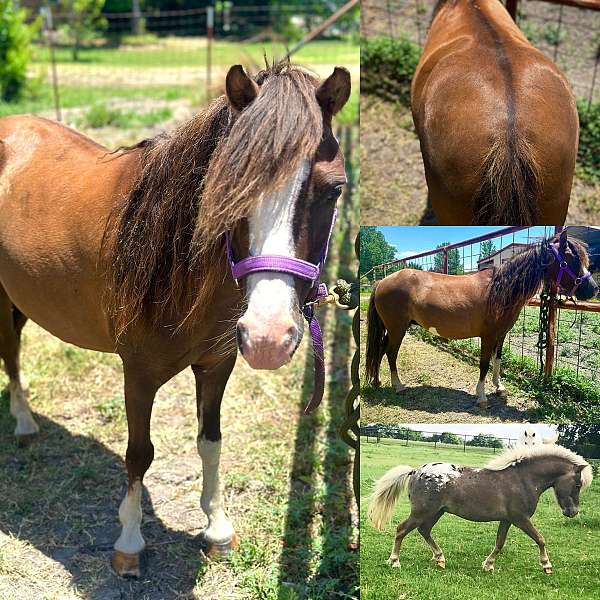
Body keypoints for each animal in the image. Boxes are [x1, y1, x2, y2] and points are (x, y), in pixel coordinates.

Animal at [0, 61, 352, 576]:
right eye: (225, 185)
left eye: (335, 189)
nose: (268, 337)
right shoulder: (138, 374)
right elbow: (139, 454)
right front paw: (129, 542)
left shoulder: (217, 365)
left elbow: (211, 441)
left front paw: (217, 529)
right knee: (10, 353)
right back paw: (24, 424)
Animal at [364, 230, 596, 408]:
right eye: (571, 260)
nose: (593, 289)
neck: (500, 289)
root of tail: (382, 282)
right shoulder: (488, 335)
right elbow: (484, 363)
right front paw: (482, 396)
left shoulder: (501, 335)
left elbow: (497, 360)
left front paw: (499, 387)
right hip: (398, 328)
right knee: (390, 353)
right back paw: (398, 386)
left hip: (392, 328)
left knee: (380, 350)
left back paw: (377, 381)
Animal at [368, 442, 592, 576]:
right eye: (577, 485)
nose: (573, 512)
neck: (523, 480)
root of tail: (415, 471)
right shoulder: (520, 519)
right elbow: (540, 539)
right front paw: (547, 565)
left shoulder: (507, 520)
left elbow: (500, 543)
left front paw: (488, 565)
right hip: (422, 512)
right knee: (401, 530)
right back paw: (395, 561)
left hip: (436, 512)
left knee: (424, 531)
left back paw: (440, 559)